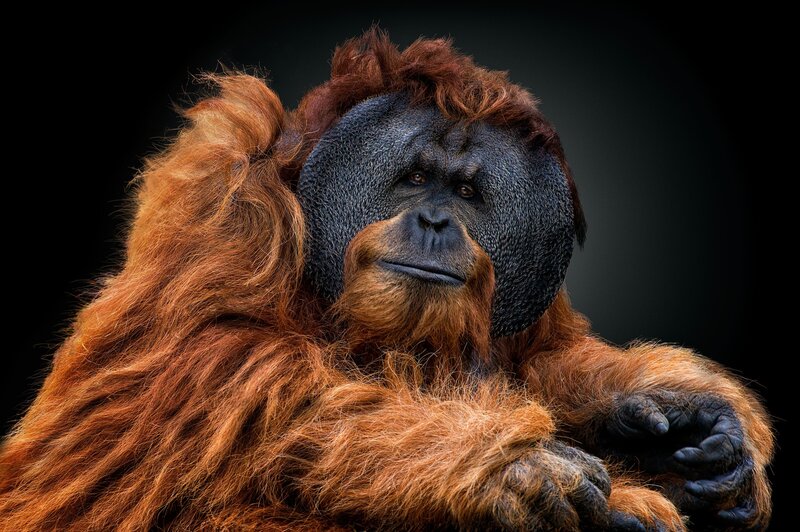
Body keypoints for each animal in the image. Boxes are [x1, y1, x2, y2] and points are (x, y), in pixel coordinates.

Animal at [0, 29, 772, 531]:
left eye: (467, 191)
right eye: (414, 178)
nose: (433, 219)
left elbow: (544, 357)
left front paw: (676, 414)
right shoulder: (222, 193)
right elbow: (195, 370)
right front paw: (510, 466)